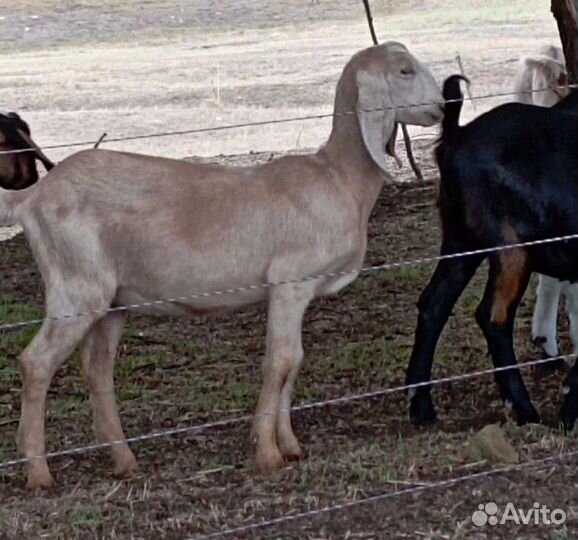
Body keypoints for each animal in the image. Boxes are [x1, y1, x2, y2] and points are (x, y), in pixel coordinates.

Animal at [0, 42, 444, 490]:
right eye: (404, 71)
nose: (442, 106)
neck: (338, 177)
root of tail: (31, 198)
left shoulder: (296, 293)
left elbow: (293, 362)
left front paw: (290, 446)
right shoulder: (290, 283)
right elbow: (280, 361)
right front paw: (268, 454)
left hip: (113, 300)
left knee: (97, 369)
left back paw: (125, 461)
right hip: (76, 284)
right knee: (36, 362)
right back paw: (39, 472)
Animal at [404, 75, 576, 430]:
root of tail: (455, 136)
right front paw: (568, 412)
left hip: (460, 239)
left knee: (433, 303)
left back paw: (421, 406)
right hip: (510, 246)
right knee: (493, 315)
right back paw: (524, 409)